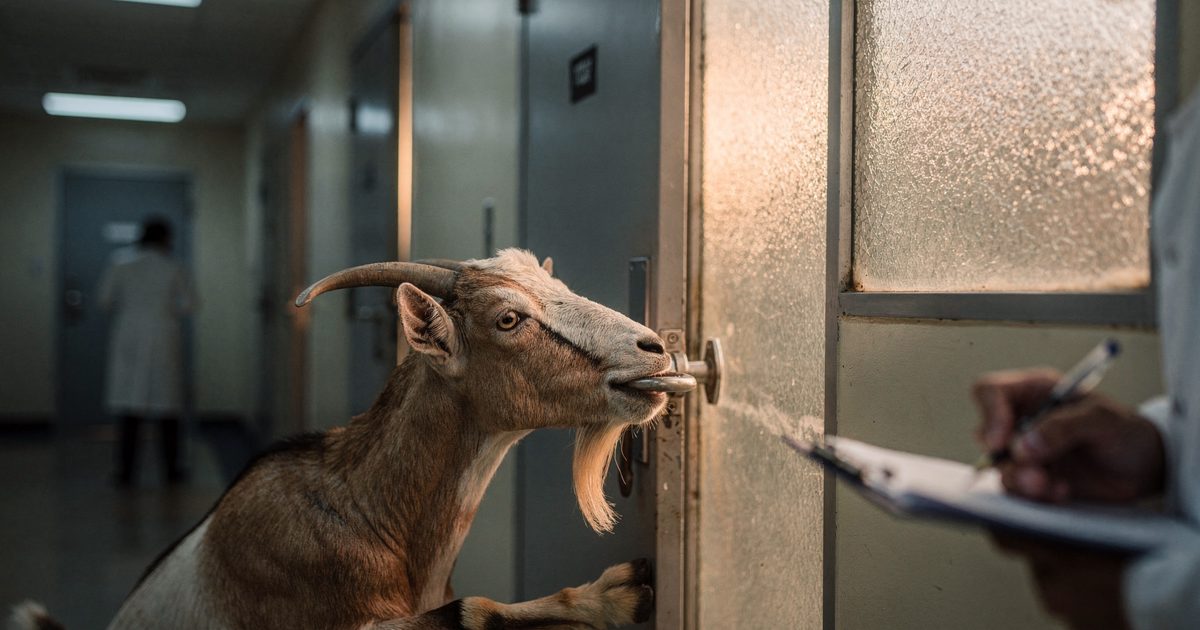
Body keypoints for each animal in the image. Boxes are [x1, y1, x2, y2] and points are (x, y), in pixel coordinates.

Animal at [10, 249, 694, 630]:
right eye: (508, 317)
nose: (654, 349)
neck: (366, 510)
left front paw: (614, 594)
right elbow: (470, 610)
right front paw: (618, 592)